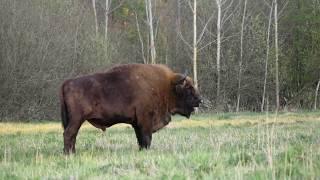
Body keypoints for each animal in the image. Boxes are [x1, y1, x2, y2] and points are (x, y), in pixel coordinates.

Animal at [59, 64, 200, 154]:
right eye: (188, 88)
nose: (200, 100)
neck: (165, 87)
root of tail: (67, 82)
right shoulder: (145, 120)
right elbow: (146, 138)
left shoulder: (137, 123)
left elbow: (140, 139)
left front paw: (142, 150)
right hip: (77, 119)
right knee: (69, 134)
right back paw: (69, 154)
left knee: (72, 135)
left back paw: (72, 152)